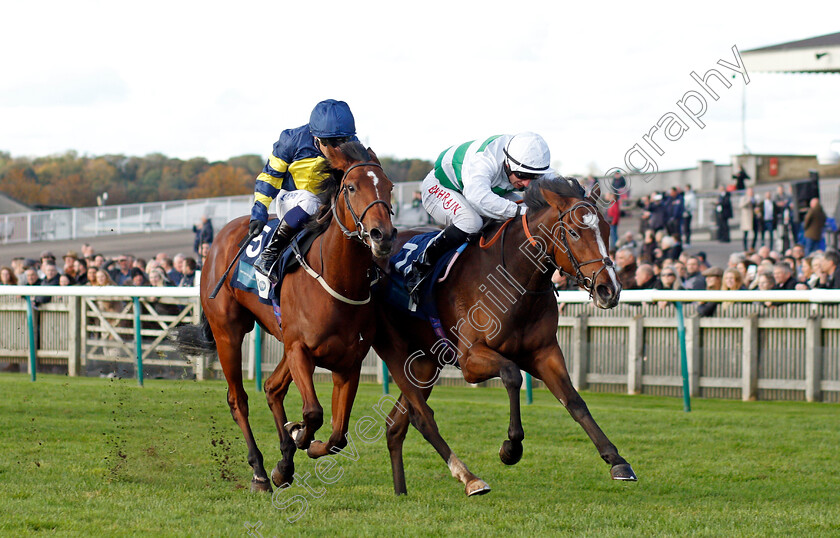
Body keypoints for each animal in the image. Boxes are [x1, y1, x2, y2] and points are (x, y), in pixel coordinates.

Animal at [179, 141, 396, 490]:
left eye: (389, 187)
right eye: (351, 187)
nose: (382, 235)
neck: (336, 280)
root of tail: (220, 237)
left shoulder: (349, 362)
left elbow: (338, 435)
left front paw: (294, 449)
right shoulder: (300, 350)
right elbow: (313, 413)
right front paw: (297, 438)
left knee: (271, 388)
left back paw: (283, 461)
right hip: (228, 332)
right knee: (239, 399)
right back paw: (259, 470)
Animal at [374, 177, 636, 494]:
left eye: (607, 231)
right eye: (573, 232)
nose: (609, 290)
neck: (514, 278)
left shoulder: (544, 352)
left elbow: (574, 401)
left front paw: (617, 460)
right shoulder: (470, 358)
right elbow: (512, 375)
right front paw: (511, 448)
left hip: (424, 363)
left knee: (396, 424)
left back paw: (401, 490)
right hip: (401, 353)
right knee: (417, 417)